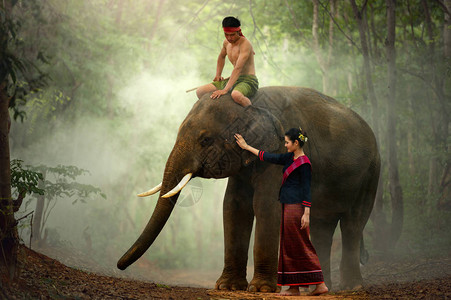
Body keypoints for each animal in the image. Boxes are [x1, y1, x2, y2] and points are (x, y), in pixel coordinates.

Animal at [117, 86, 382, 290]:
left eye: (205, 139)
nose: (119, 265)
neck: (251, 102)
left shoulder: (279, 151)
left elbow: (266, 204)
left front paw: (261, 289)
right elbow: (234, 206)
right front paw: (227, 287)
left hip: (371, 175)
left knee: (352, 224)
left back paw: (350, 288)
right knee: (321, 227)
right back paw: (317, 287)